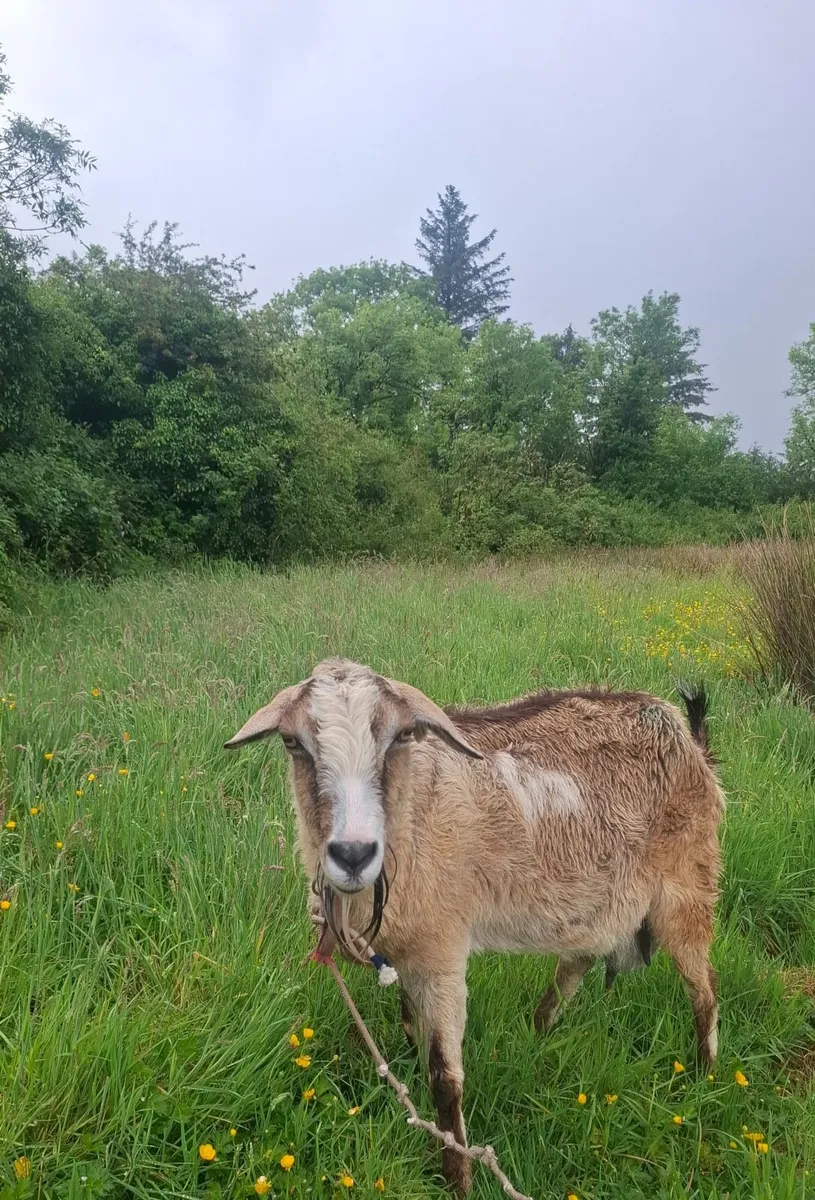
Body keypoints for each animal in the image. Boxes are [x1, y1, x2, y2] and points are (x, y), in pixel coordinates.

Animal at [226, 659, 724, 1195]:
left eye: (402, 735)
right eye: (292, 742)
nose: (353, 854)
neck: (416, 812)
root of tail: (689, 738)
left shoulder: (444, 947)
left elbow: (445, 1078)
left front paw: (458, 1179)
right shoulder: (410, 950)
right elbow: (410, 1024)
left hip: (687, 887)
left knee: (704, 991)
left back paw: (704, 1076)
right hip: (601, 902)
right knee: (577, 965)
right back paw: (536, 1035)